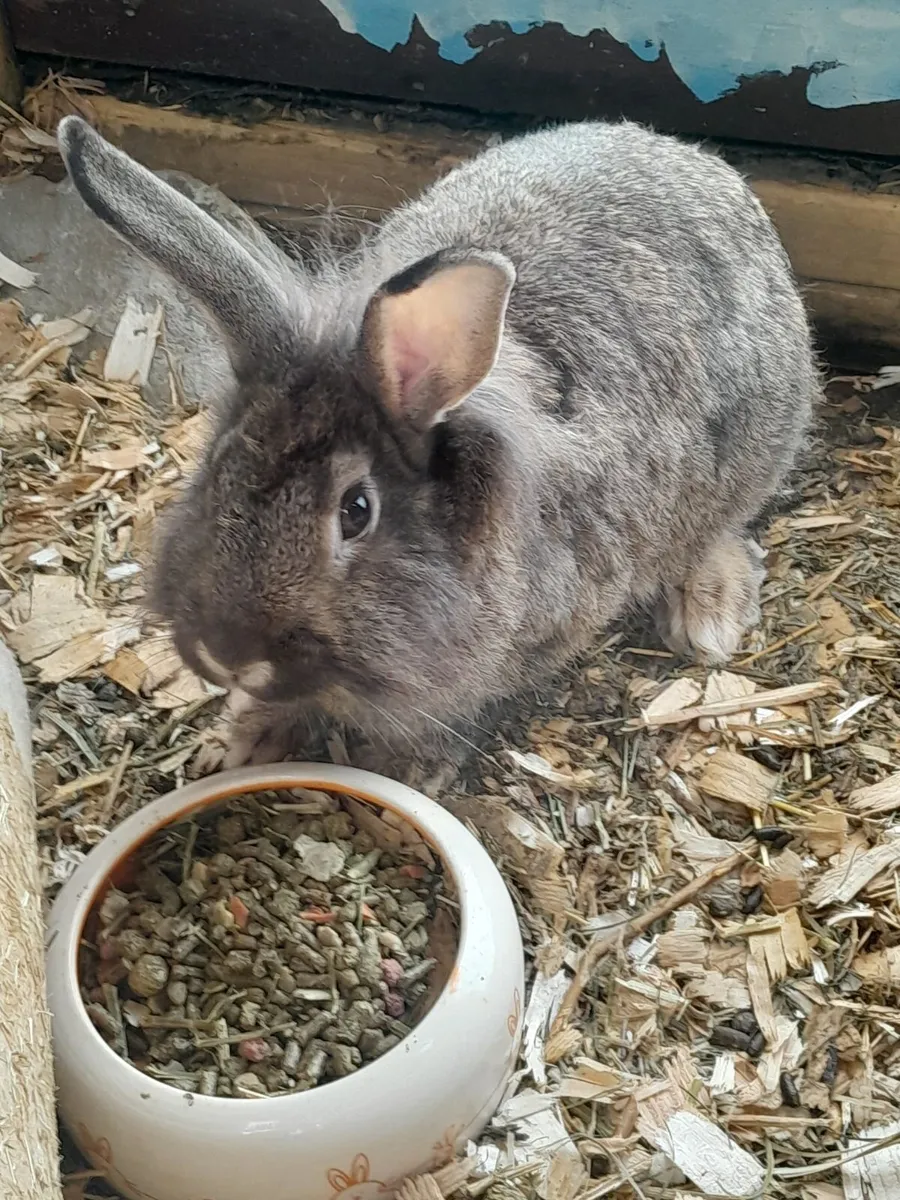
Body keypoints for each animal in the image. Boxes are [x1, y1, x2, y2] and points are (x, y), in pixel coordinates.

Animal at [57, 115, 818, 786]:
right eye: (219, 466)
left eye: (356, 511)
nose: (224, 654)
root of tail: (696, 160)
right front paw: (244, 739)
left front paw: (409, 768)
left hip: (756, 447)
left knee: (723, 528)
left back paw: (709, 614)